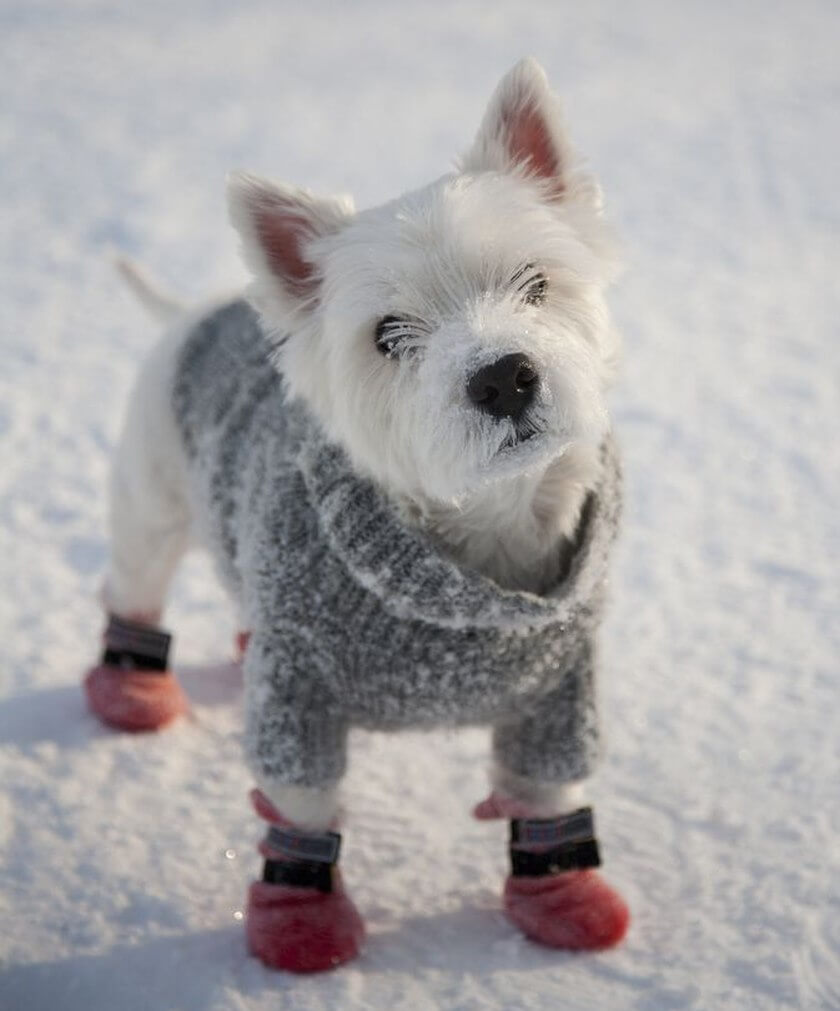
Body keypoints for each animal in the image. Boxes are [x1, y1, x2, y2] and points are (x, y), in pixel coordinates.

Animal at [85, 57, 626, 970]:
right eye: (388, 333)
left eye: (535, 282)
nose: (503, 377)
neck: (479, 539)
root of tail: (204, 307)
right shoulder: (297, 695)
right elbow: (301, 807)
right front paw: (299, 925)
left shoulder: (558, 696)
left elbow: (544, 791)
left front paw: (564, 896)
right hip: (149, 504)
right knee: (135, 588)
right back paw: (130, 691)